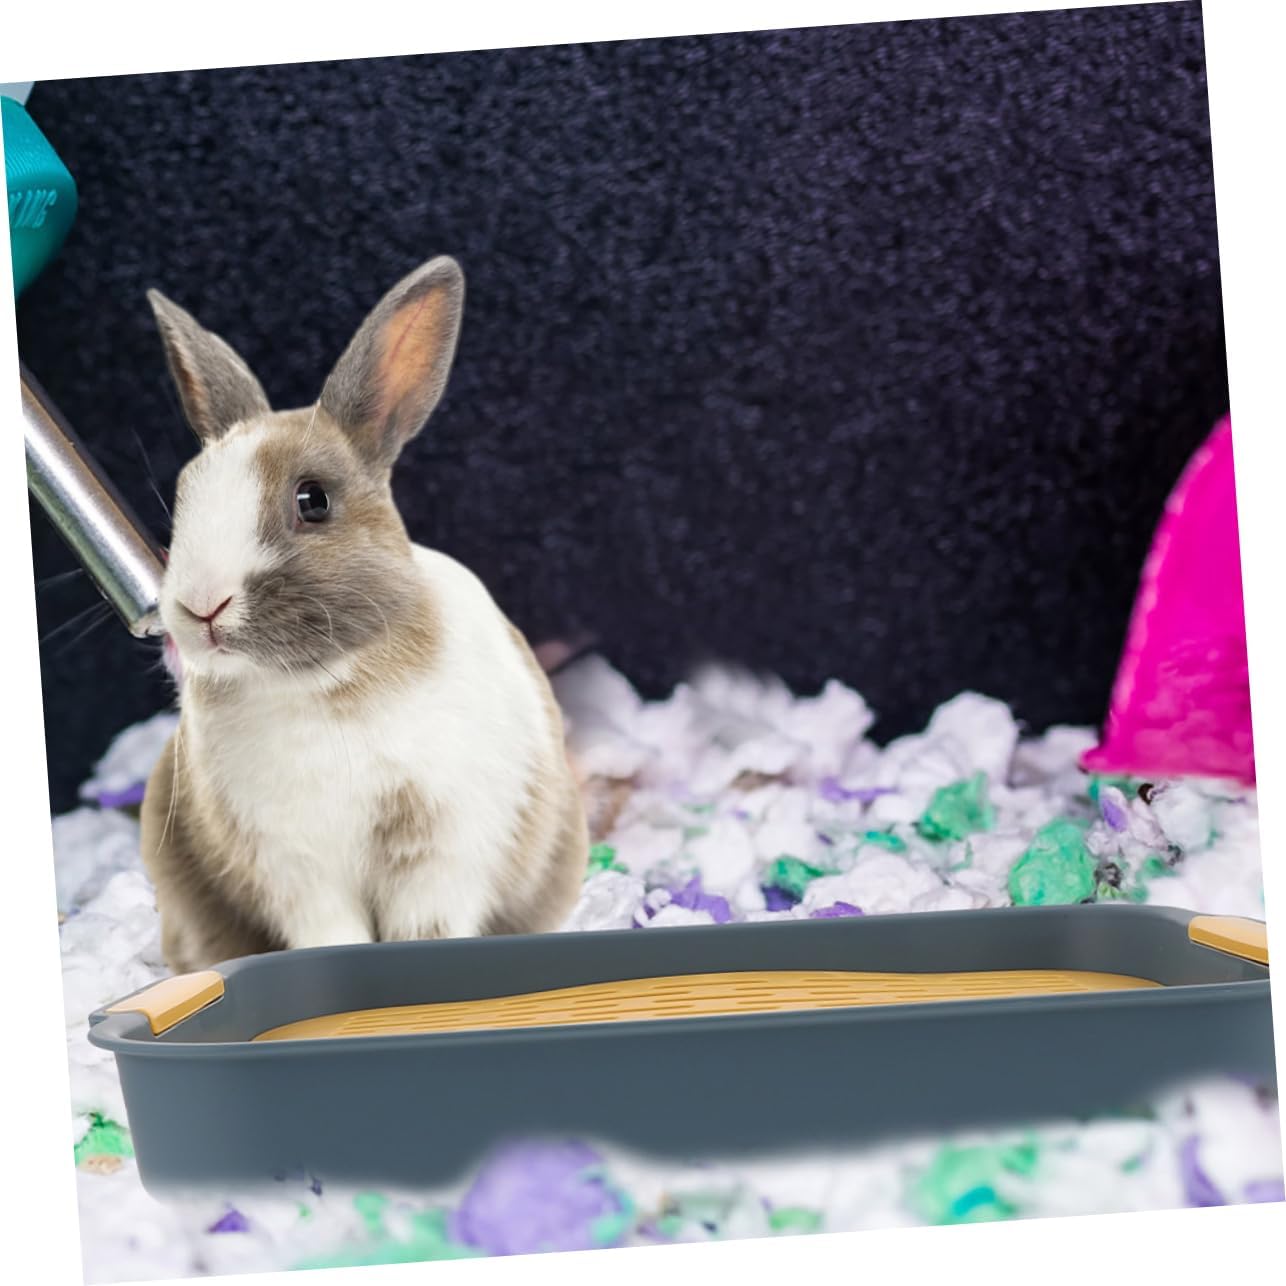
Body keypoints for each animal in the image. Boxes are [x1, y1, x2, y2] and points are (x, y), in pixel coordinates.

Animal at [139, 256, 589, 973]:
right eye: (184, 497)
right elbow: (330, 935)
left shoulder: (444, 847)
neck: (323, 683)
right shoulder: (295, 868)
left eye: (313, 500)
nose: (201, 606)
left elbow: (427, 927)